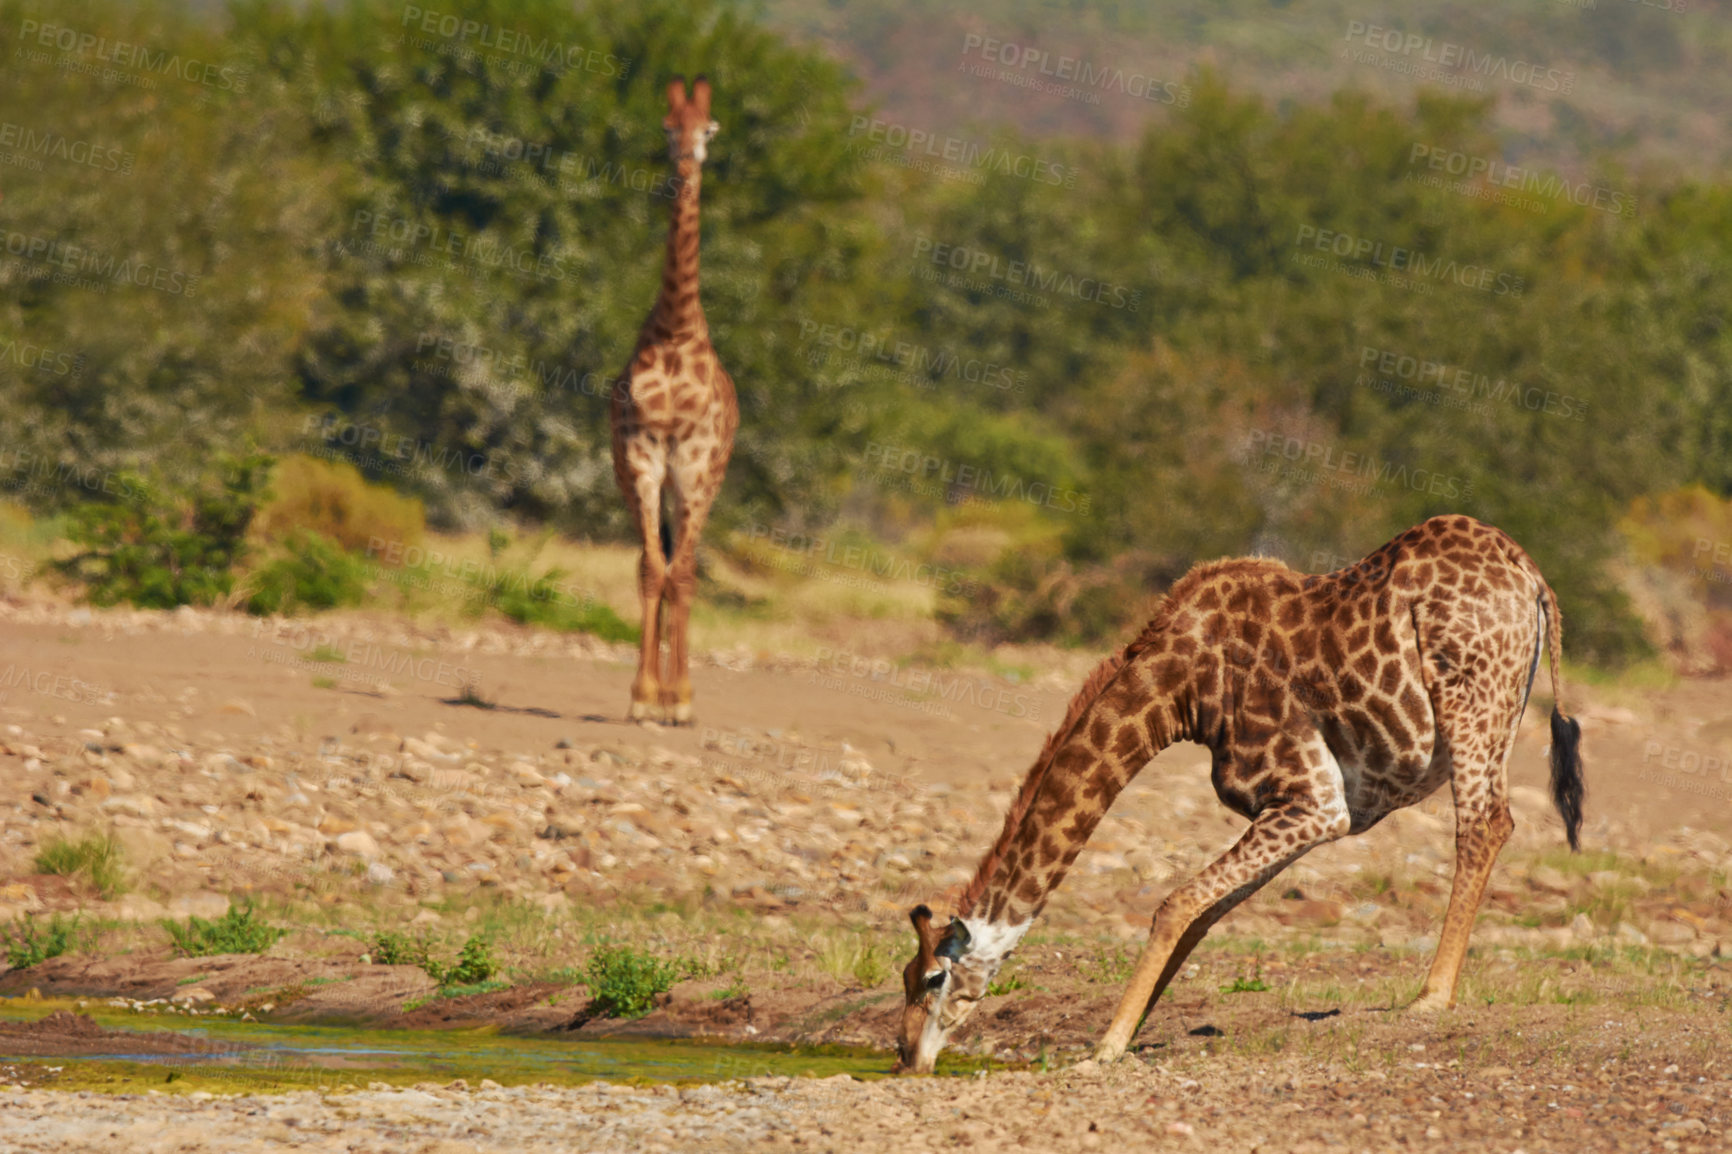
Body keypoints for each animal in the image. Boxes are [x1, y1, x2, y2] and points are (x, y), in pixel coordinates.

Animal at [900, 512, 1586, 1067]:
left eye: (931, 979)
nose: (906, 1056)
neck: (1181, 690)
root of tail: (1532, 577)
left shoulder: (1312, 799)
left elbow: (1173, 904)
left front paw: (1106, 1046)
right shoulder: (1307, 810)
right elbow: (1202, 914)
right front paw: (1135, 1027)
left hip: (1470, 700)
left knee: (1486, 824)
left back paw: (1431, 996)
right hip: (1497, 716)